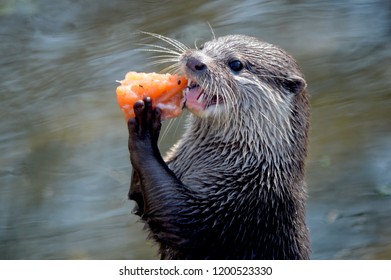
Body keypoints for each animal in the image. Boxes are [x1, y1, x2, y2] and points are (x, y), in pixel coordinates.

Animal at [129, 34, 312, 260]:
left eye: (236, 64)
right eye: (202, 47)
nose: (195, 61)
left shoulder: (236, 209)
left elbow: (177, 216)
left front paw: (144, 127)